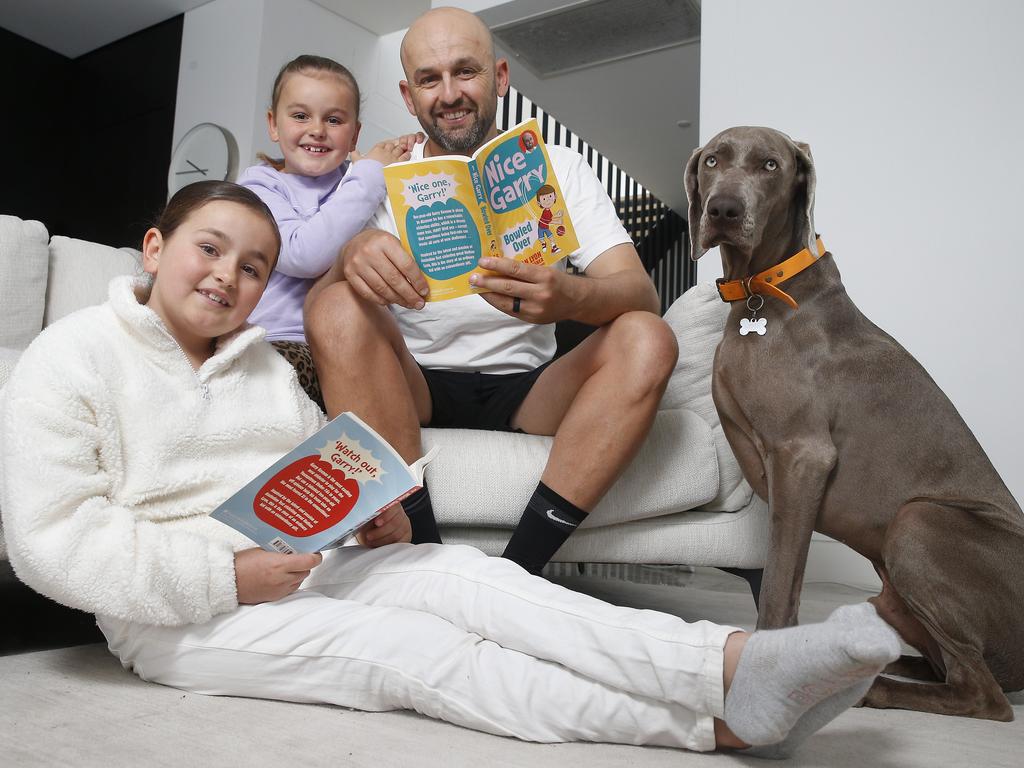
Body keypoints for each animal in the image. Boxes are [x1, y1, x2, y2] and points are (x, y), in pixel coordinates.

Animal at [684, 126, 1024, 720]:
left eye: (770, 165)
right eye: (712, 161)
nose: (723, 209)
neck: (760, 290)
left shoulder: (802, 457)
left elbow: (777, 589)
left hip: (918, 522)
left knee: (983, 694)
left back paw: (872, 687)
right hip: (889, 593)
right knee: (948, 669)